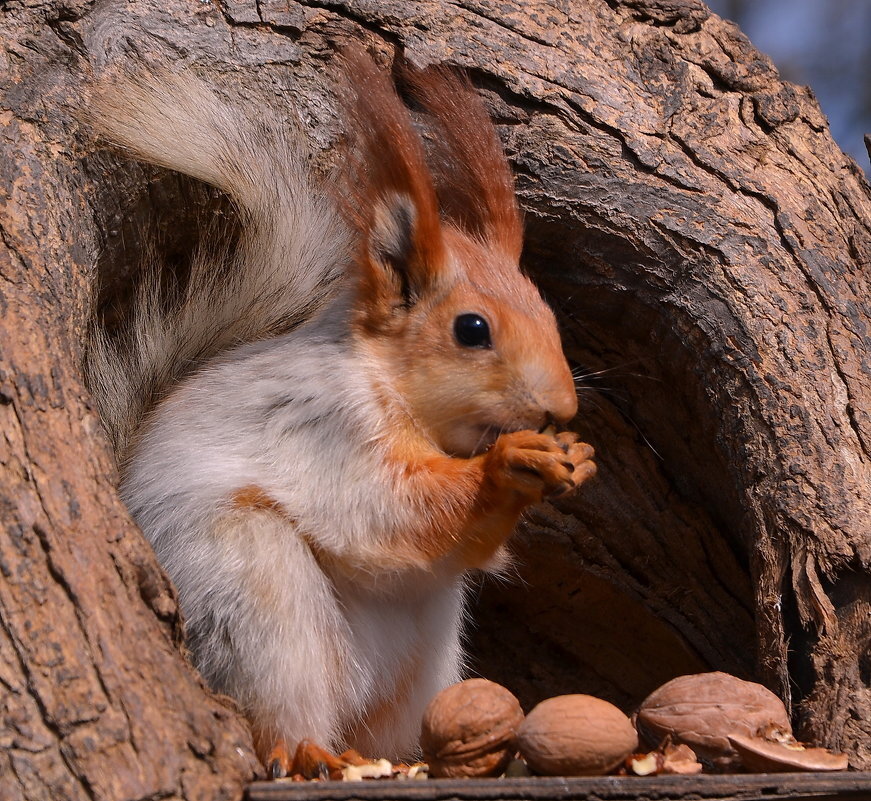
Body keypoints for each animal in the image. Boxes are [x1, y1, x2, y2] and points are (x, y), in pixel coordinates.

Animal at [83, 51, 600, 776]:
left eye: (550, 315)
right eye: (472, 329)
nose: (562, 406)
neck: (392, 385)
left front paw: (576, 457)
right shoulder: (328, 428)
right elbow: (387, 504)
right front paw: (506, 464)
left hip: (423, 660)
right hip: (252, 599)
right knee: (277, 710)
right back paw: (306, 751)